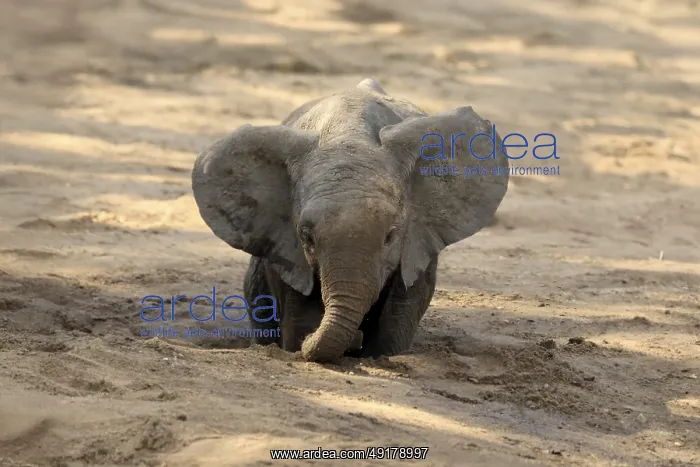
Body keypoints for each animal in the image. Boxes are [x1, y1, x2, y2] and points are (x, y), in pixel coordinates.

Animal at [191, 78, 510, 362]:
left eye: (391, 236)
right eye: (306, 237)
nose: (353, 343)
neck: (349, 133)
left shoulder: (417, 240)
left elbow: (402, 309)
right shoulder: (286, 248)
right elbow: (299, 305)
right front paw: (304, 342)